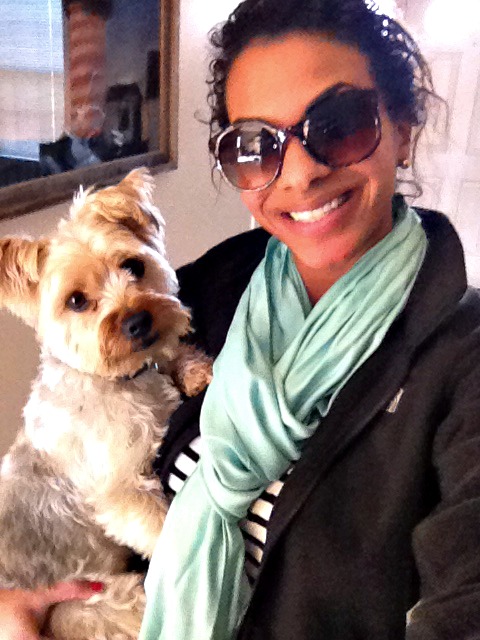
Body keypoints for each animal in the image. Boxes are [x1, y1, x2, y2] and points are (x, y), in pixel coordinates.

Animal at [0, 168, 212, 639]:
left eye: (133, 265)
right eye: (76, 300)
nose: (137, 320)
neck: (113, 381)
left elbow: (172, 357)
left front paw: (193, 371)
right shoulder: (120, 491)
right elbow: (159, 525)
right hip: (96, 603)